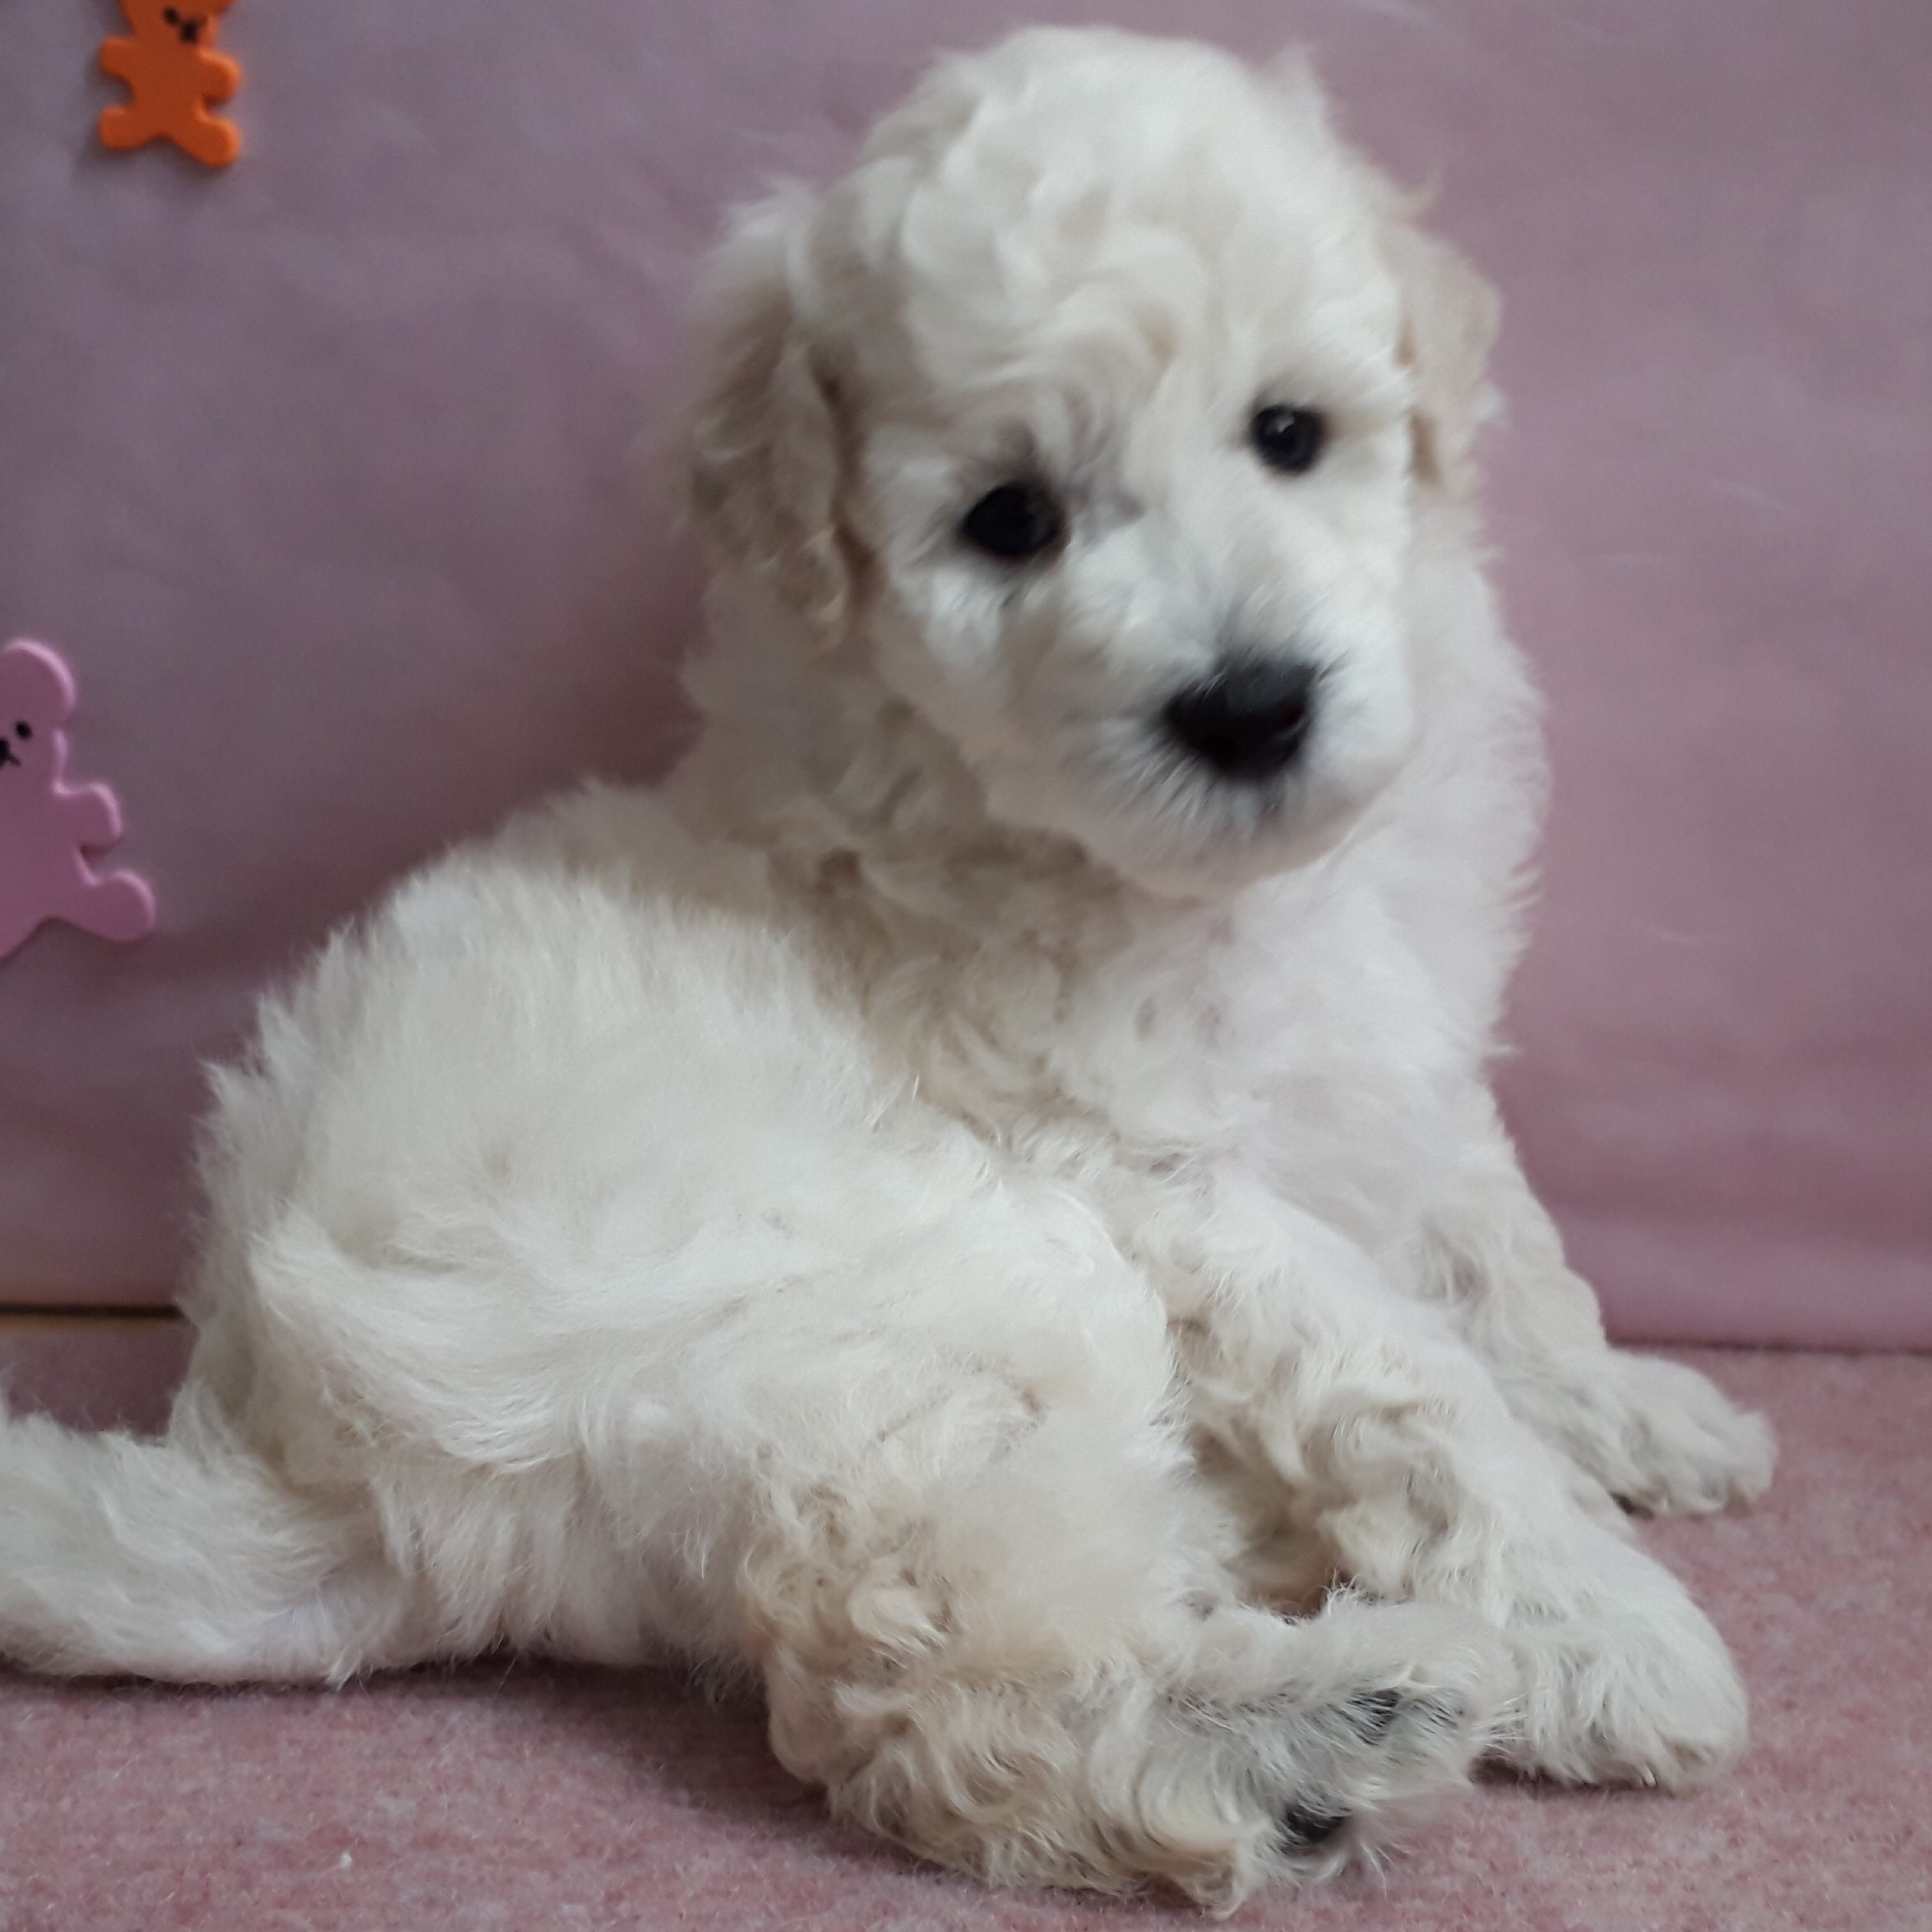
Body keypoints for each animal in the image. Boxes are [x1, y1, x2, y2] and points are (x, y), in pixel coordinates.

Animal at [0, 27, 1775, 1908]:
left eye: (1290, 433)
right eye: (1011, 521)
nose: (1247, 704)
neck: (1190, 884)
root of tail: (301, 1458)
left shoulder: (1408, 1054)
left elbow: (1508, 1261)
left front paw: (1638, 1415)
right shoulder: (1147, 1175)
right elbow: (1413, 1388)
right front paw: (1601, 1627)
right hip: (915, 1293)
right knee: (942, 1679)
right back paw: (1322, 1730)